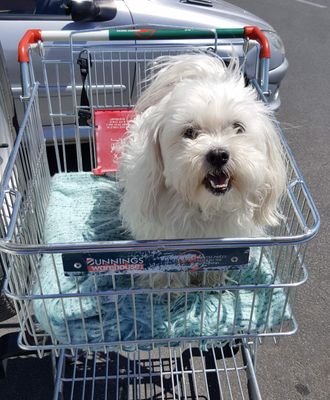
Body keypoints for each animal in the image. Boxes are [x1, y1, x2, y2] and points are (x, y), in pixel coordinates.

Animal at [116, 54, 286, 288]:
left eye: (238, 127)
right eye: (190, 132)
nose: (218, 155)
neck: (207, 206)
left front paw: (212, 279)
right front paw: (167, 286)